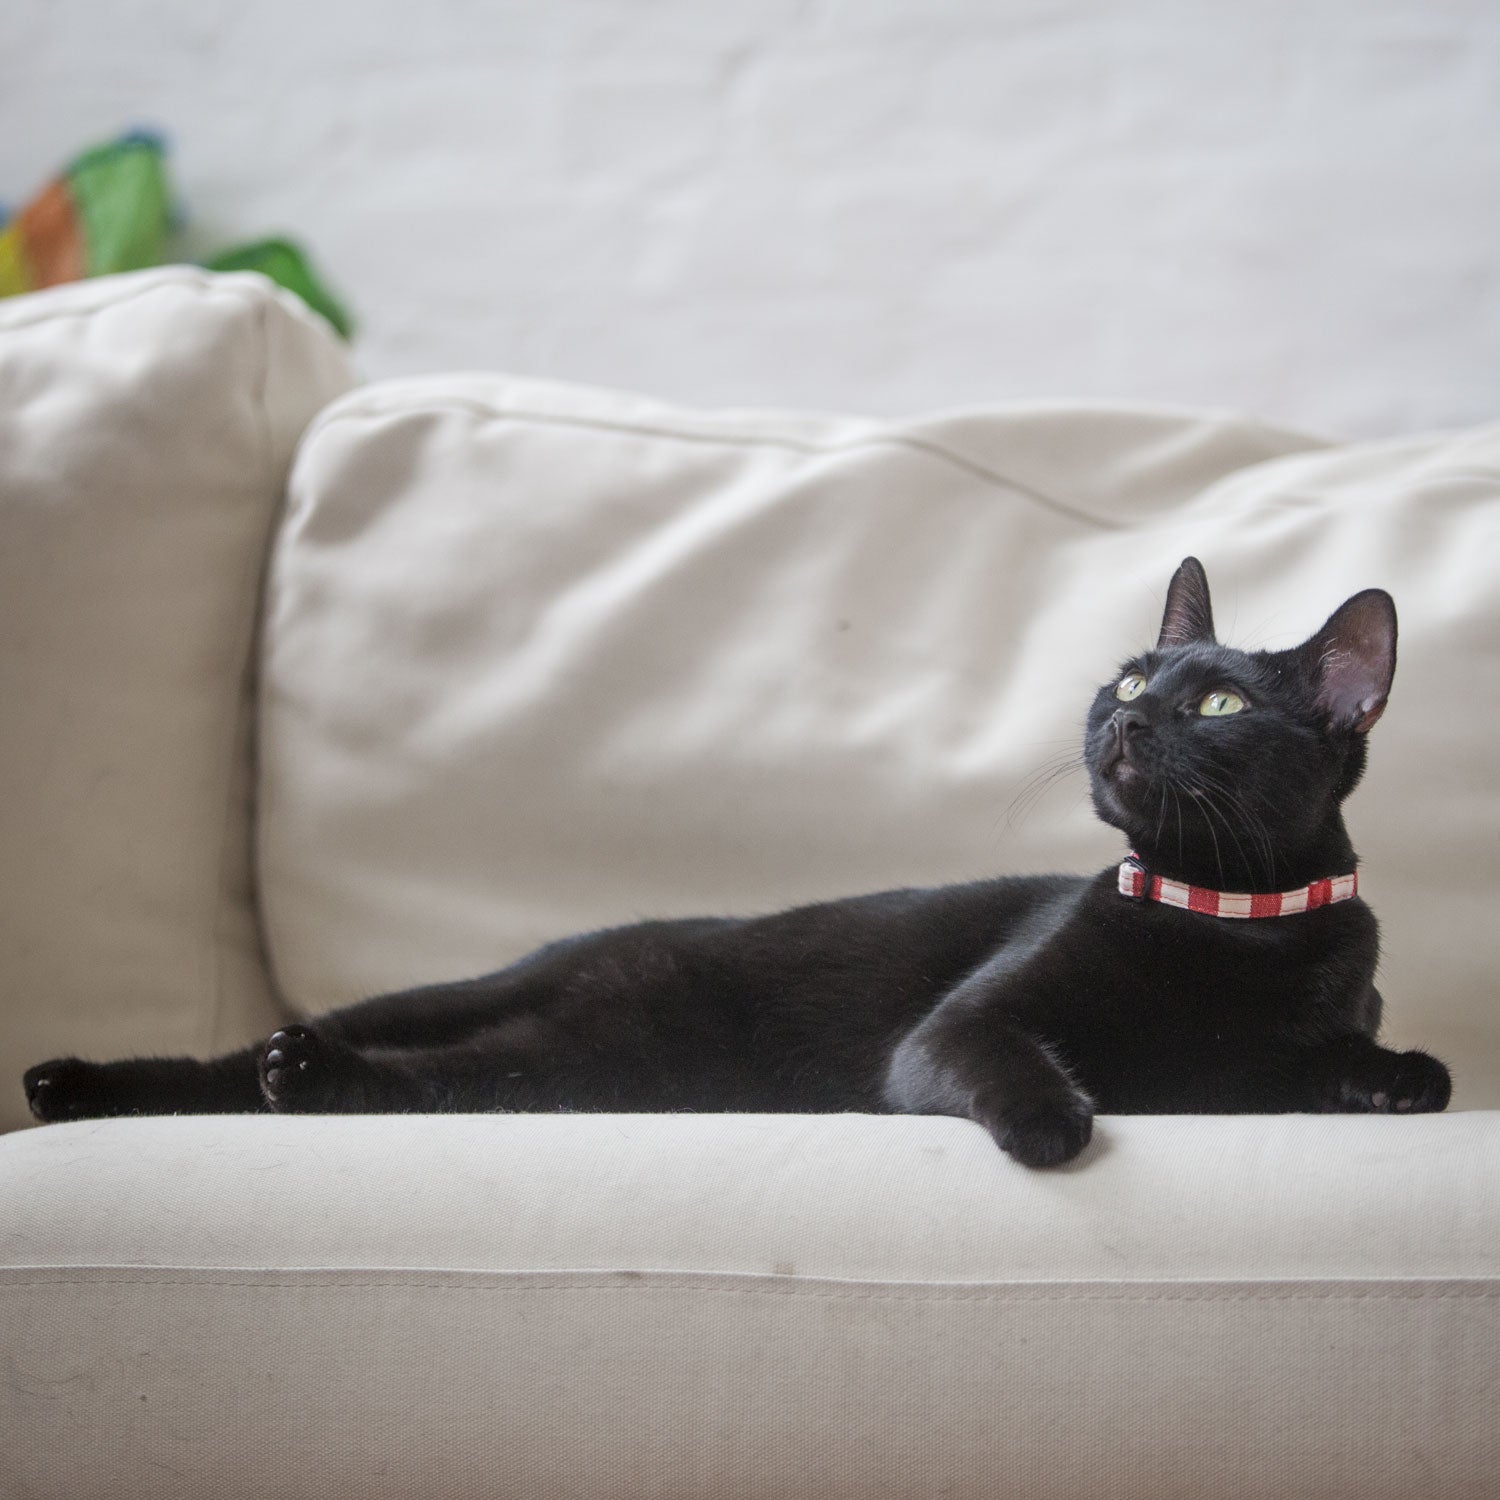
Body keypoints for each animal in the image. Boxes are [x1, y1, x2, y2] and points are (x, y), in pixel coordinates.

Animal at [26, 558, 1452, 1164]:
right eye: (1131, 675)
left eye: (1215, 704)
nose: (1124, 720)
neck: (1224, 919)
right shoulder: (956, 1030)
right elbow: (1002, 1059)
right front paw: (1058, 1119)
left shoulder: (1272, 1051)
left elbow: (1359, 1065)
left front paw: (1397, 1078)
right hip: (488, 1010)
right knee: (299, 1054)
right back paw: (110, 1078)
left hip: (568, 1069)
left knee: (362, 1081)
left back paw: (214, 1084)